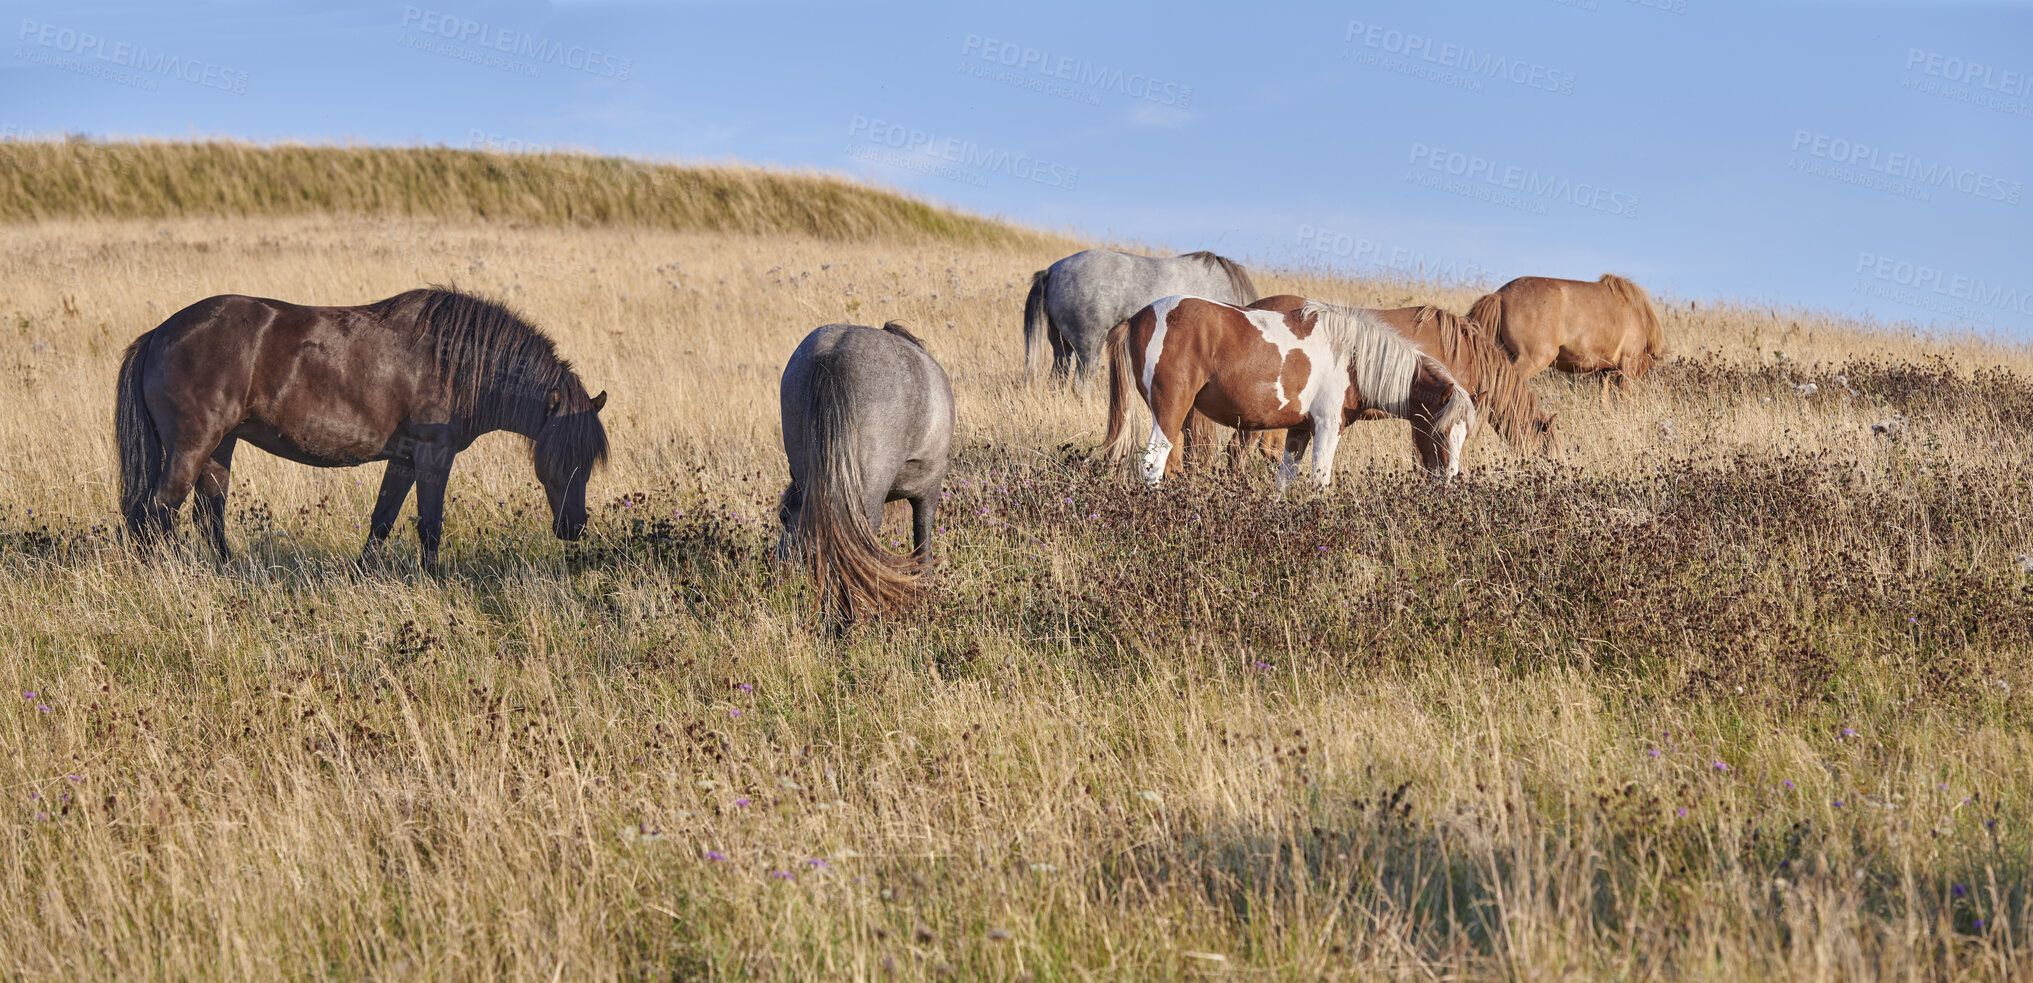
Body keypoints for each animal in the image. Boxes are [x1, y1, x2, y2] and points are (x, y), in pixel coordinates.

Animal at [116, 288, 605, 572]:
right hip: (191, 448)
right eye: (552, 462)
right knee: (157, 513)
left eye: (588, 463)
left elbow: (383, 520)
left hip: (221, 446)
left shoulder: (405, 460)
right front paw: (435, 584)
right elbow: (430, 526)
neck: (456, 361)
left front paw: (360, 575)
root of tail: (158, 333)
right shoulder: (433, 456)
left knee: (208, 514)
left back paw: (226, 572)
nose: (573, 526)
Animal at [1097, 294, 1480, 489]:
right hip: (1169, 411)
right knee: (1152, 463)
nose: (1450, 482)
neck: (1353, 357)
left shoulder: (1298, 430)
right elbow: (1319, 483)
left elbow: (1284, 480)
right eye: (1440, 432)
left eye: (1465, 436)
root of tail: (1135, 318)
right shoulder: (1327, 427)